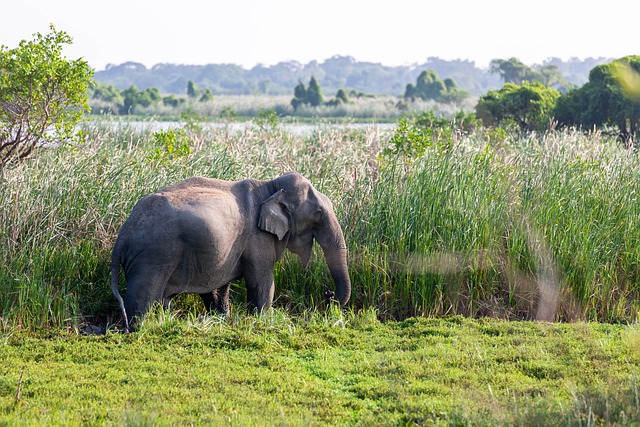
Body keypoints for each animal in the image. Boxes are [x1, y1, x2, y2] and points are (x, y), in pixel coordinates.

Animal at [110, 172, 350, 332]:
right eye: (318, 213)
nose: (328, 295)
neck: (269, 187)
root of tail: (122, 236)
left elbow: (220, 283)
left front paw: (222, 318)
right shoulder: (257, 238)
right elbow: (262, 282)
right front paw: (261, 320)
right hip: (154, 256)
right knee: (142, 297)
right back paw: (137, 328)